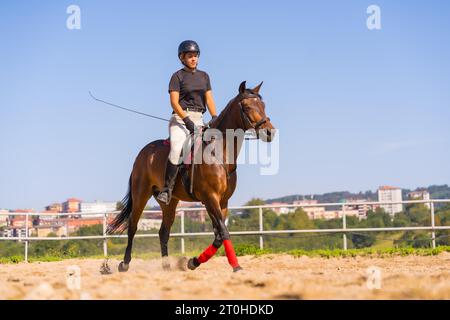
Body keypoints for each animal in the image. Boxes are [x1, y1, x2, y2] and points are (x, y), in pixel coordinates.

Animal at [107, 80, 274, 272]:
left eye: (263, 105)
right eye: (246, 107)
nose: (269, 132)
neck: (219, 153)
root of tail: (144, 153)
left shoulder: (222, 201)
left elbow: (218, 236)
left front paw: (193, 262)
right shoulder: (210, 198)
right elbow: (224, 232)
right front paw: (236, 266)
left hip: (169, 202)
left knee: (163, 232)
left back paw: (166, 266)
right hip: (140, 194)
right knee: (133, 226)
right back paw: (124, 264)